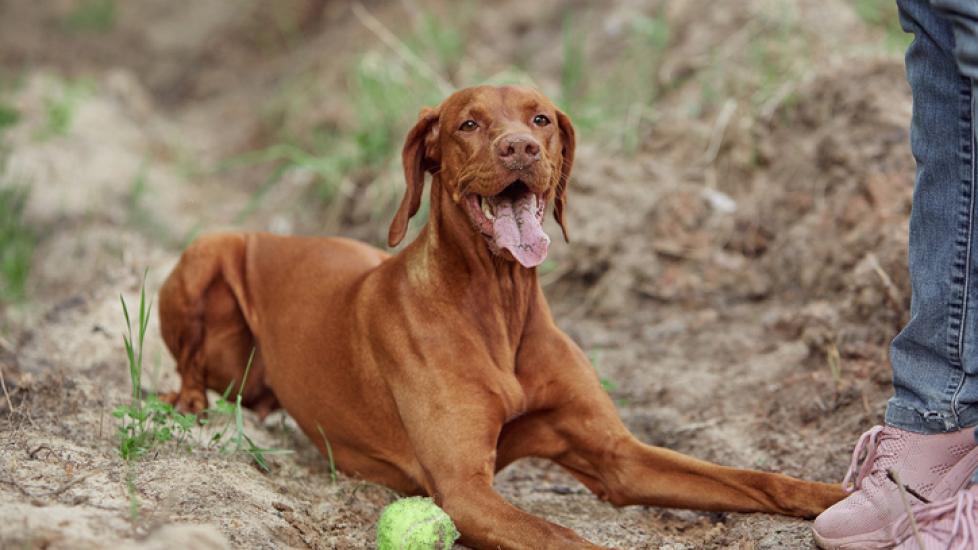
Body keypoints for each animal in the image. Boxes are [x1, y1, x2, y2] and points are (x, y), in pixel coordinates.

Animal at [158, 84, 840, 548]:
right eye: (469, 123)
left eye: (541, 118)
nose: (521, 147)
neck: (498, 306)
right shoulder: (463, 490)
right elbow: (564, 538)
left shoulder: (617, 455)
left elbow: (759, 478)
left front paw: (842, 494)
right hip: (207, 251)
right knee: (189, 366)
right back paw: (191, 406)